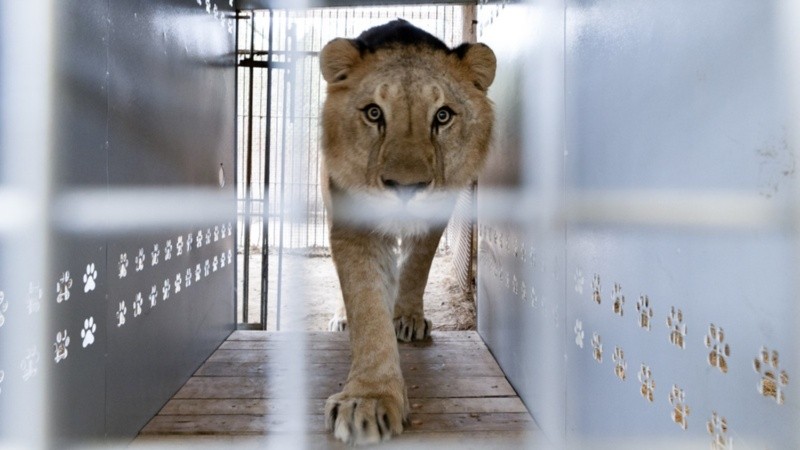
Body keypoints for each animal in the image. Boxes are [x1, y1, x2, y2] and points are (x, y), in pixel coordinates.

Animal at [319, 19, 496, 445]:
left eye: (443, 116)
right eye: (373, 113)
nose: (405, 188)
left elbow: (417, 266)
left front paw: (407, 318)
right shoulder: (353, 223)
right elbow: (366, 303)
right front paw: (368, 399)